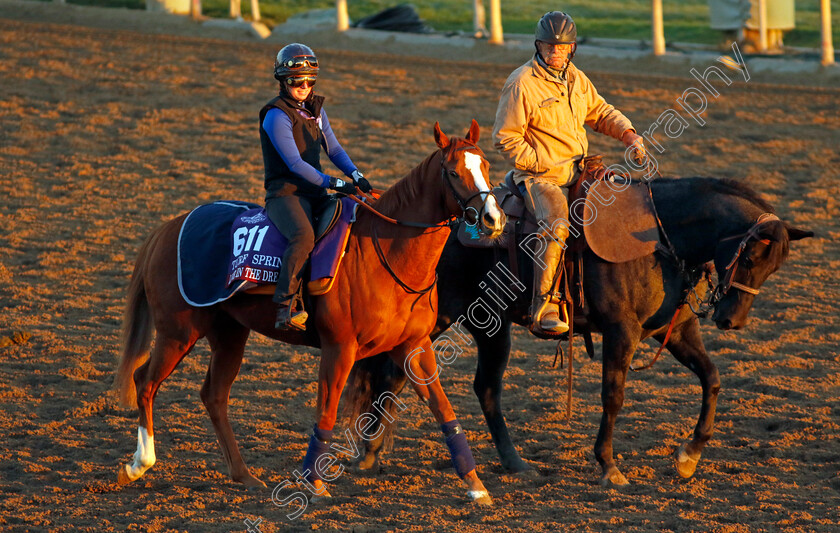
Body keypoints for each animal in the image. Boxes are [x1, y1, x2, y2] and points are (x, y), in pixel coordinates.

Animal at [113, 119, 506, 502]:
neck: (384, 253)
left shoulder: (414, 346)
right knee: (145, 381)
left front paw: (476, 486)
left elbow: (444, 410)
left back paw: (244, 475)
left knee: (213, 395)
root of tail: (169, 228)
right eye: (453, 172)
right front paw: (314, 483)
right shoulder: (339, 349)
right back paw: (139, 464)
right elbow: (327, 416)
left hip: (229, 335)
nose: (493, 219)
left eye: (486, 165)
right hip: (178, 333)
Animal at [342, 176, 812, 486]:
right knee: (397, 374)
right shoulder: (622, 332)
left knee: (484, 388)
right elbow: (613, 396)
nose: (732, 320)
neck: (658, 241)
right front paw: (609, 466)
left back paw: (513, 463)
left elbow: (712, 379)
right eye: (748, 256)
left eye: (774, 267)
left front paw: (688, 458)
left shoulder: (676, 331)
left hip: (492, 329)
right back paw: (369, 455)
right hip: (441, 319)